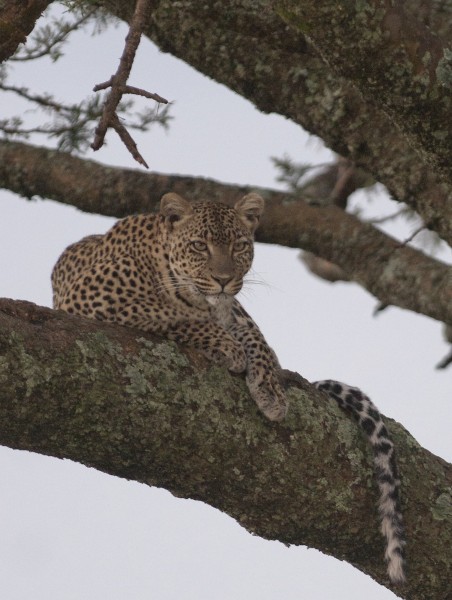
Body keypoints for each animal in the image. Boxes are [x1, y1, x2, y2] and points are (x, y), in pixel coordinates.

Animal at [51, 193, 404, 584]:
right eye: (199, 246)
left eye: (239, 246)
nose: (222, 279)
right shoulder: (88, 297)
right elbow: (168, 314)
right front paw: (226, 346)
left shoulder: (234, 309)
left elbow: (255, 336)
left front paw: (269, 388)